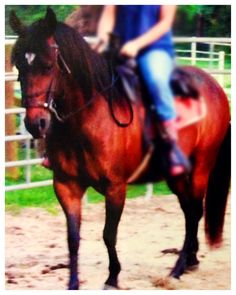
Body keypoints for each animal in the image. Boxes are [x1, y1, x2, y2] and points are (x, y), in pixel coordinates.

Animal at [9, 8, 230, 290]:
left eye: (48, 65)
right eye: (19, 65)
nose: (35, 124)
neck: (88, 119)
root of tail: (215, 87)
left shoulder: (115, 188)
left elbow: (108, 234)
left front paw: (113, 277)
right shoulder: (66, 185)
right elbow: (73, 237)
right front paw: (73, 283)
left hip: (201, 167)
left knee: (194, 214)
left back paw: (177, 269)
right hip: (177, 176)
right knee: (189, 210)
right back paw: (190, 260)